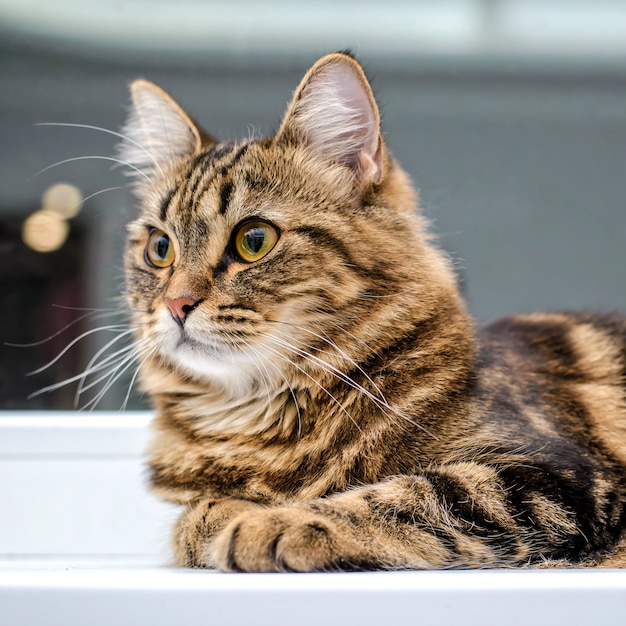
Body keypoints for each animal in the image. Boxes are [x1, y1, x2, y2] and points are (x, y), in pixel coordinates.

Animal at [118, 52, 624, 572]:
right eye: (160, 249)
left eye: (253, 240)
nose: (176, 304)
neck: (255, 422)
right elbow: (194, 518)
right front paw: (217, 516)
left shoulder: (554, 478)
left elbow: (401, 498)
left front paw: (264, 523)